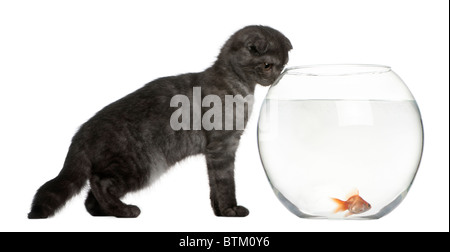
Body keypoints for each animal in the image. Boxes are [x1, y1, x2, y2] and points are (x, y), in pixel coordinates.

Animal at [28, 26, 292, 219]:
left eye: (283, 66)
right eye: (267, 65)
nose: (277, 77)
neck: (237, 85)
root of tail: (82, 133)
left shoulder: (214, 152)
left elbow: (214, 186)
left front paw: (219, 212)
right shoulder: (222, 147)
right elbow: (226, 183)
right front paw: (230, 211)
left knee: (90, 197)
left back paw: (109, 212)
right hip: (142, 164)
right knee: (98, 182)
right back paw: (125, 211)